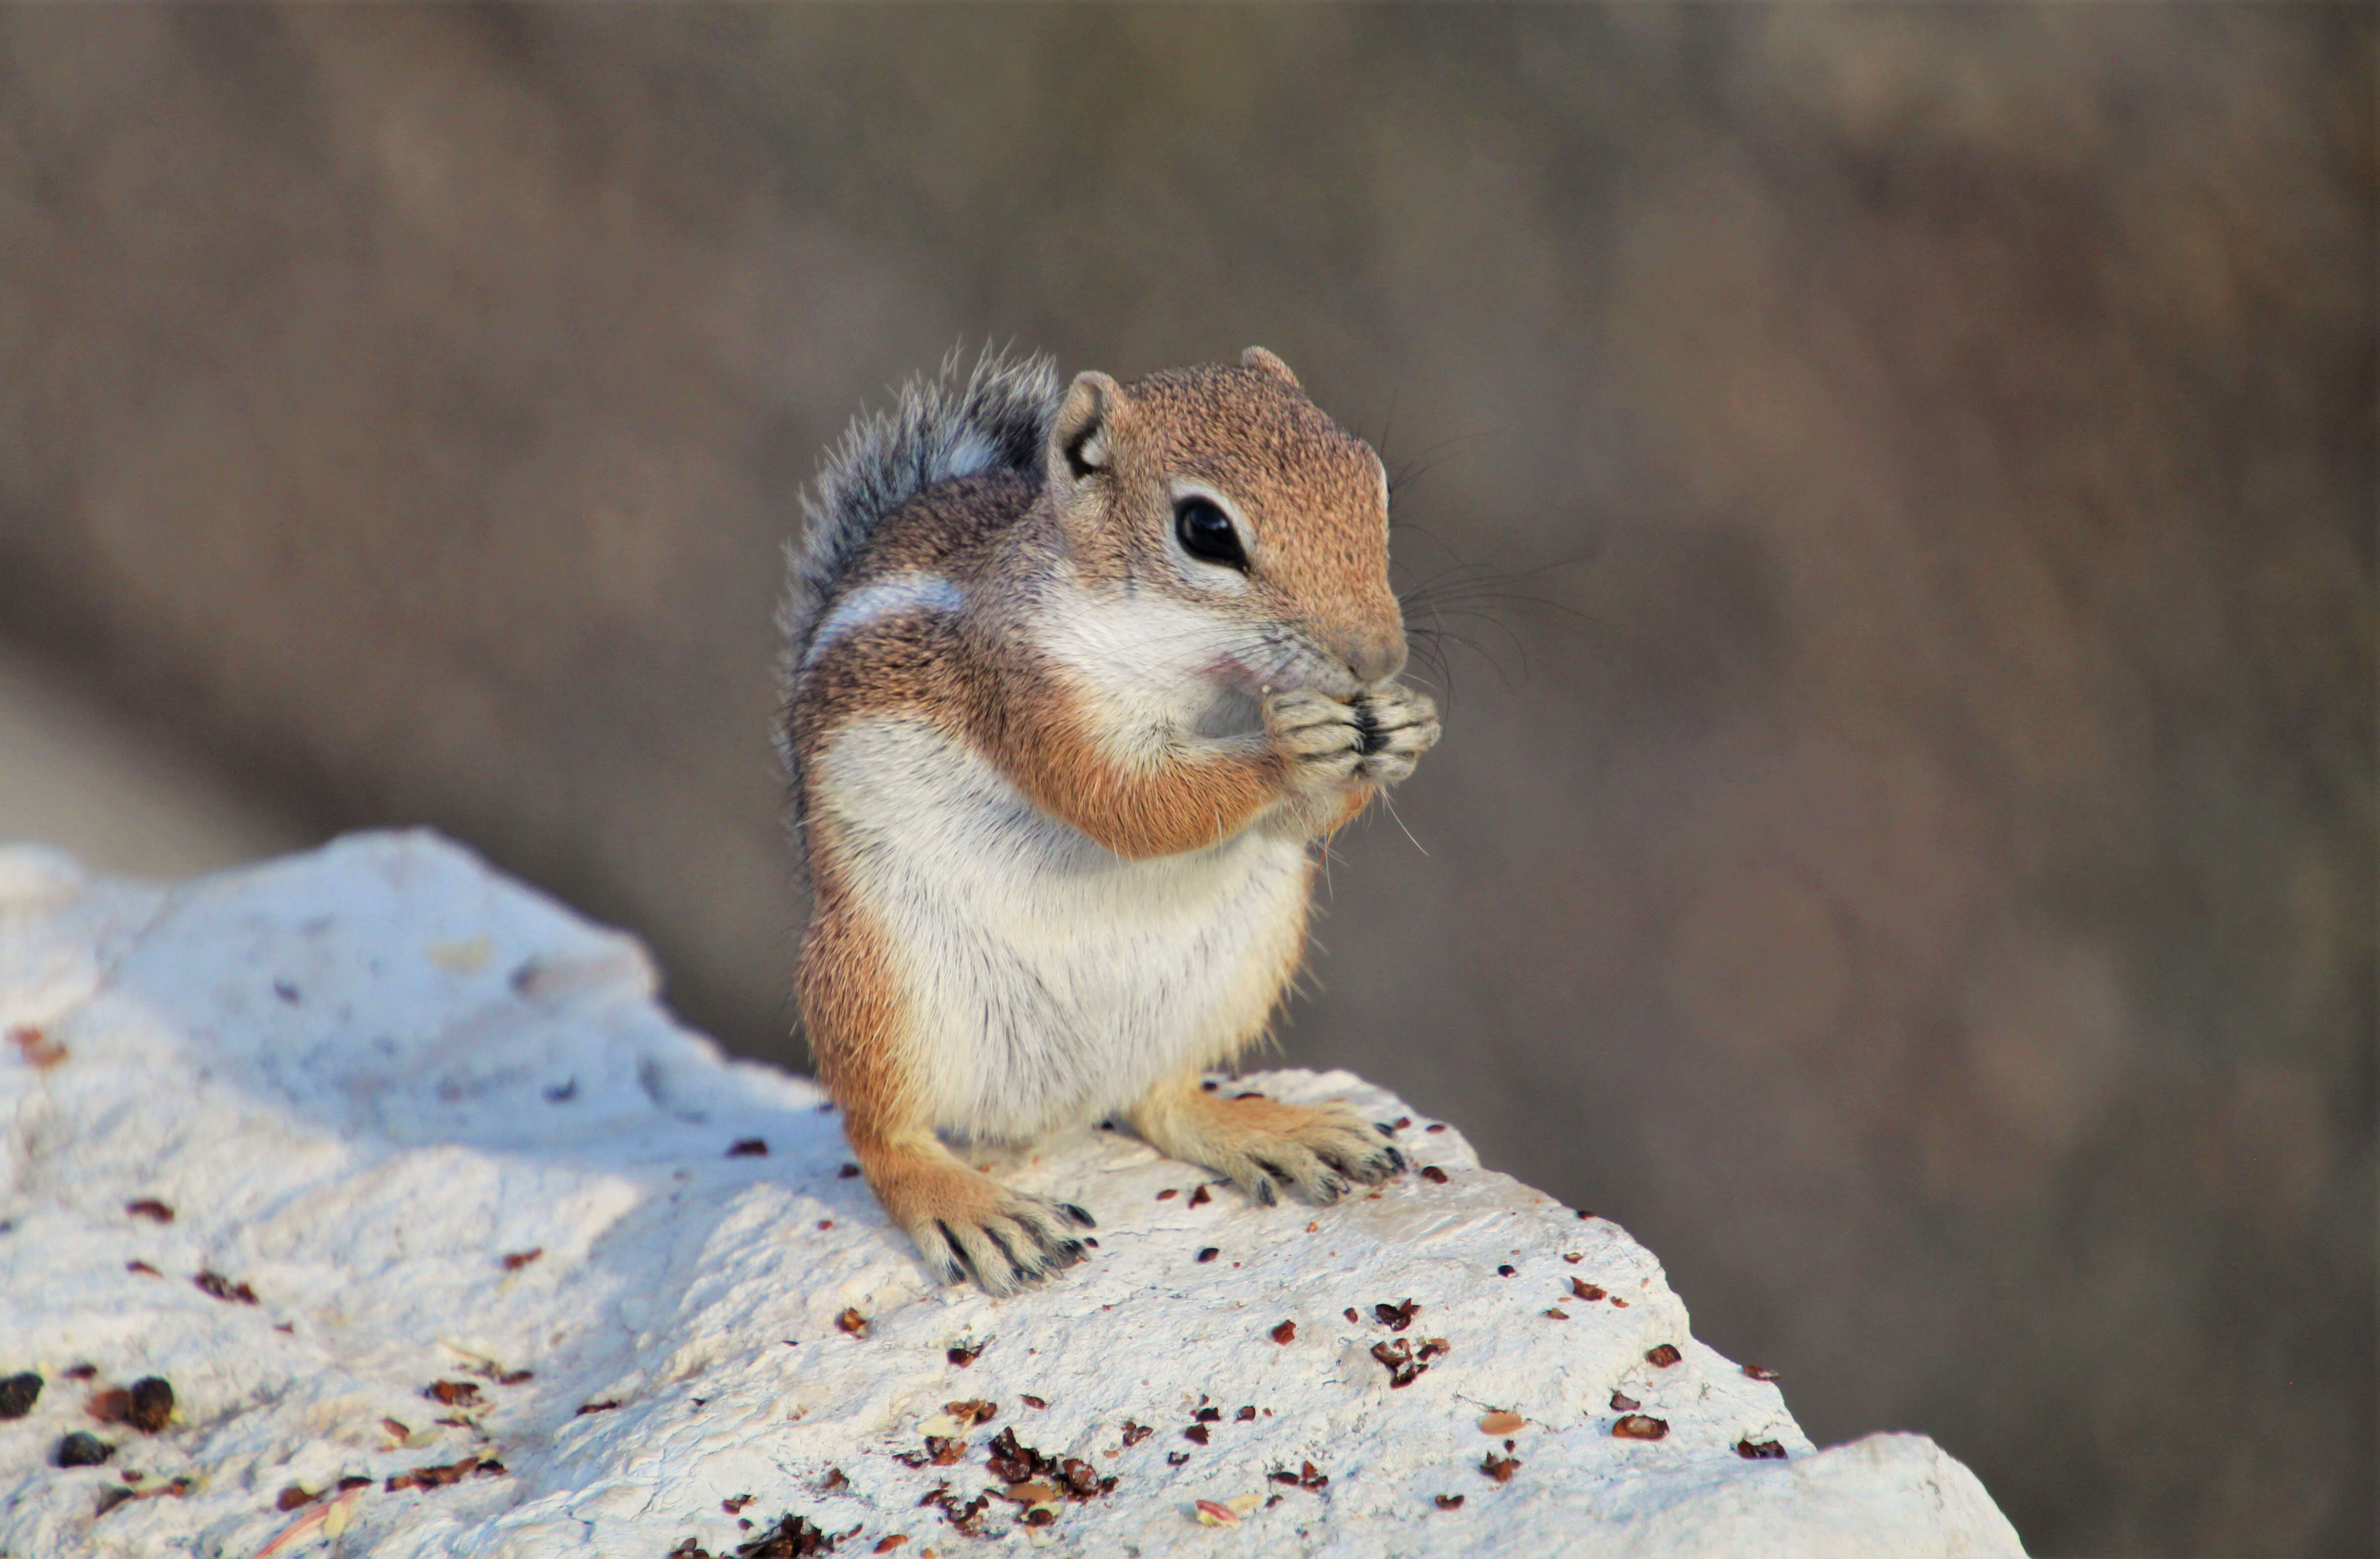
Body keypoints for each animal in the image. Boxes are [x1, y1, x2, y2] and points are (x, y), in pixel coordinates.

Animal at [780, 347, 1447, 1294]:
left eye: (1371, 480)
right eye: (1206, 530)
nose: (1378, 658)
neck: (1203, 672)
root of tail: (1055, 1106)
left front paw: (1403, 724)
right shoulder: (1030, 688)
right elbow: (1131, 803)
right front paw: (1286, 749)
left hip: (1241, 962)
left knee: (1159, 1099)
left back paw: (1276, 1132)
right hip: (880, 987)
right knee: (884, 1138)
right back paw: (974, 1209)